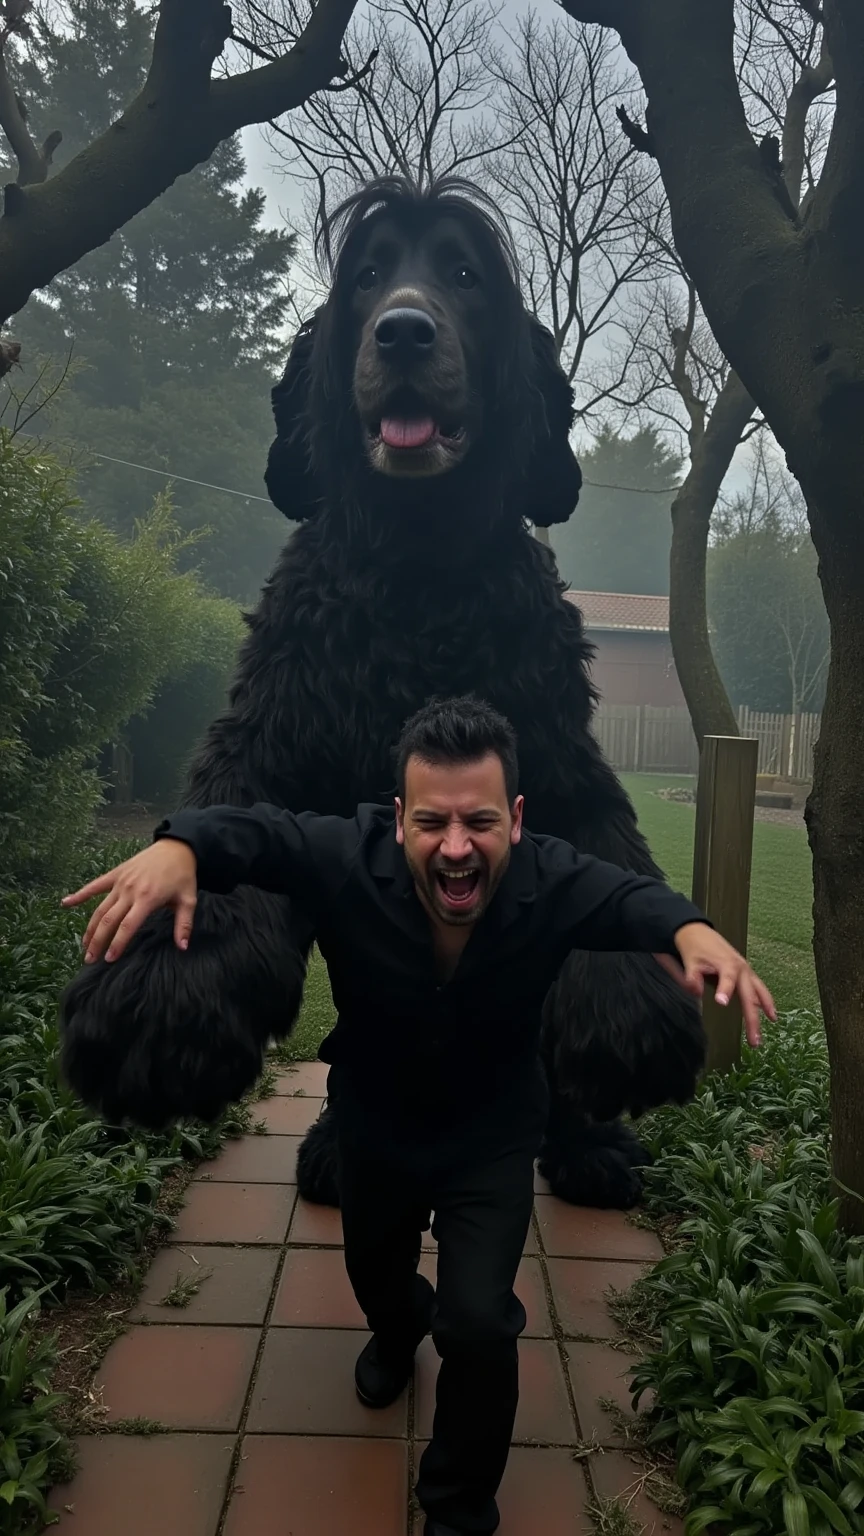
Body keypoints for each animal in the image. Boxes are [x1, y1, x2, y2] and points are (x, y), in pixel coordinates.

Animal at [58, 176, 701, 1210]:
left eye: (466, 275)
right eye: (366, 276)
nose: (403, 332)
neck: (417, 566)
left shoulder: (555, 759)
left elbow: (610, 863)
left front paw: (633, 1019)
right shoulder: (270, 742)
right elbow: (216, 834)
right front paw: (154, 1007)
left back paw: (587, 1147)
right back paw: (337, 1147)